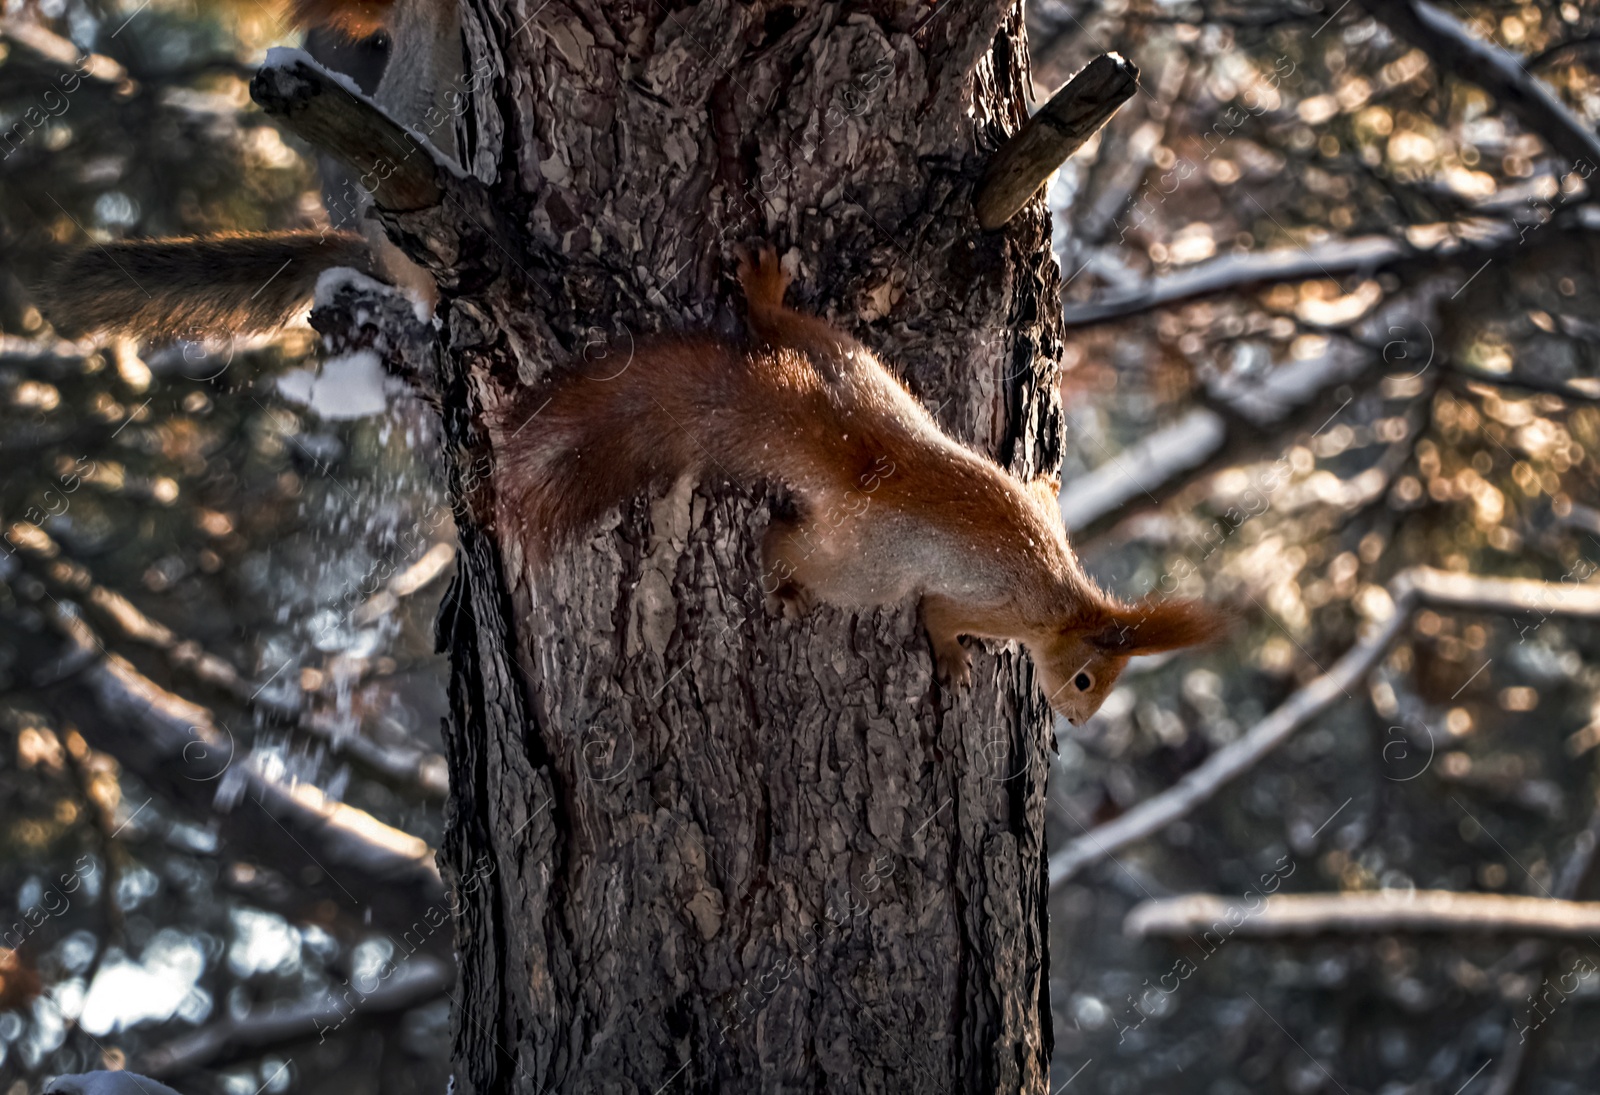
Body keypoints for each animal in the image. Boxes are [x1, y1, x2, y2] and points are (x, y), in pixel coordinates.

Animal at [499, 249, 1222, 726]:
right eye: (1085, 679)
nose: (1074, 719)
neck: (1067, 603)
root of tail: (871, 464)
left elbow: (1041, 494)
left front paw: (1045, 476)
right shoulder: (994, 607)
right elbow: (940, 617)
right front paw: (953, 661)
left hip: (858, 372)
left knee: (789, 332)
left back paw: (765, 293)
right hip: (866, 568)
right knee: (785, 542)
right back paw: (782, 581)